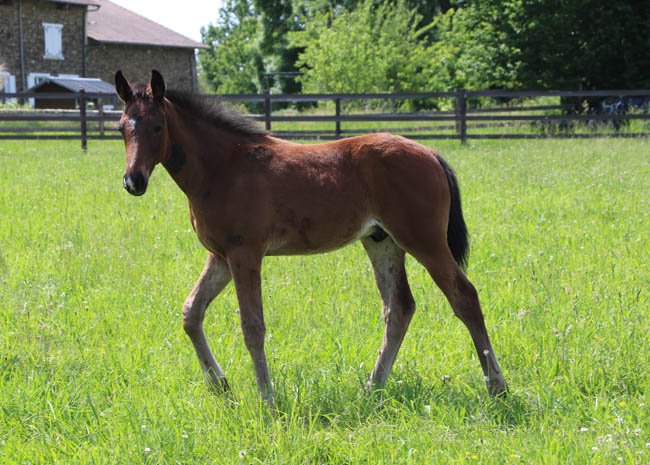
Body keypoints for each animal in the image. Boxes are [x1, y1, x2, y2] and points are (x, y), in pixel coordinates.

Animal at [115, 70, 506, 403]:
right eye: (121, 128)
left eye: (157, 126)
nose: (134, 181)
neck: (223, 167)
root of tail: (432, 153)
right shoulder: (220, 256)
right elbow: (191, 313)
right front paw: (221, 386)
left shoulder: (245, 254)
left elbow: (252, 327)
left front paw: (267, 399)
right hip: (382, 241)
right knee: (399, 307)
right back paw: (373, 387)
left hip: (424, 240)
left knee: (464, 297)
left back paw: (497, 387)